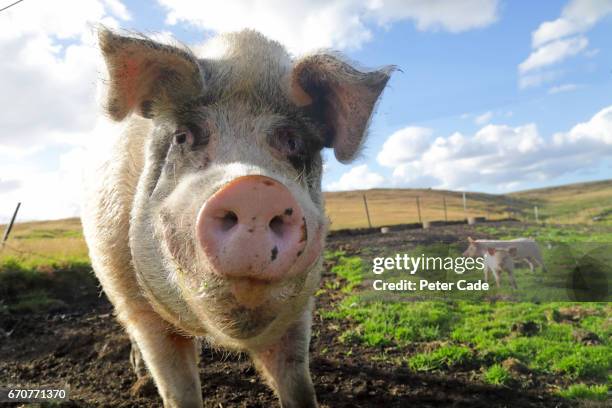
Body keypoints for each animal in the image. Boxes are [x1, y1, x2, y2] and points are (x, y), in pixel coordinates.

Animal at [81, 27, 392, 406]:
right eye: (183, 136)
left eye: (293, 142)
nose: (255, 189)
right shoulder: (136, 304)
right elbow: (178, 391)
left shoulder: (300, 307)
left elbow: (297, 383)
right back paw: (140, 379)